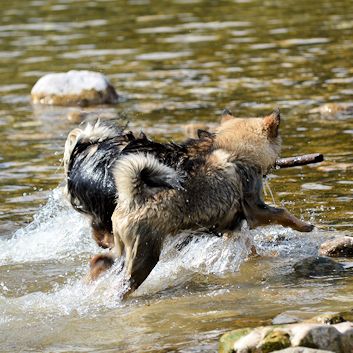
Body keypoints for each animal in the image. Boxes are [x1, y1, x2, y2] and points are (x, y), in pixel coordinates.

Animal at [62, 108, 310, 294]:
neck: (230, 150)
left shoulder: (233, 223)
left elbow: (251, 247)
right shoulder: (256, 210)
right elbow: (283, 214)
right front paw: (305, 226)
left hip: (122, 246)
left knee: (99, 260)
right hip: (143, 254)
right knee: (119, 277)